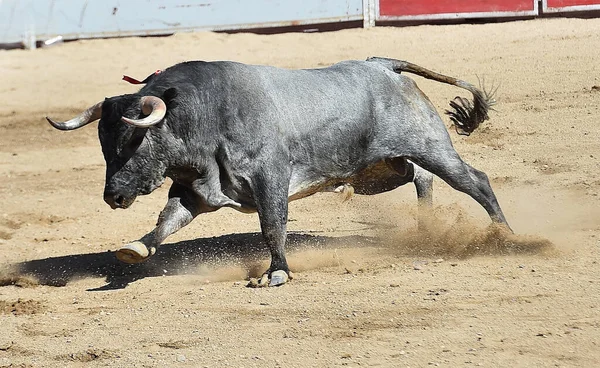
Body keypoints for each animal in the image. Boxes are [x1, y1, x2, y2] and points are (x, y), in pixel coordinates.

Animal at [45, 58, 510, 288]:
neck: (204, 114)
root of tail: (384, 65)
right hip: (380, 170)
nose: (114, 196)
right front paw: (135, 249)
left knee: (474, 181)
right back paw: (425, 227)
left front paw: (277, 273)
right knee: (418, 177)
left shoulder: (270, 178)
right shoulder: (195, 189)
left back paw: (503, 235)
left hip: (431, 146)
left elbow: (273, 225)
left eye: (135, 140)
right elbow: (167, 221)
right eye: (105, 144)